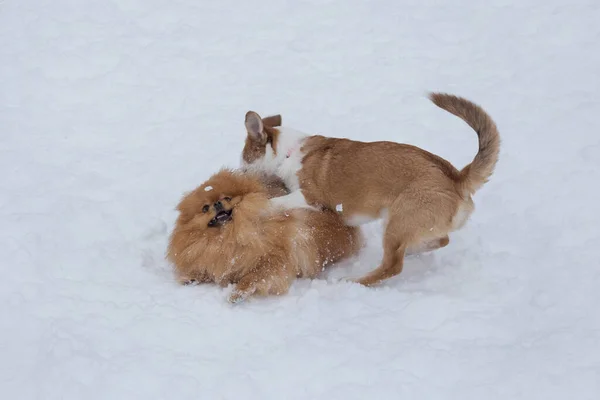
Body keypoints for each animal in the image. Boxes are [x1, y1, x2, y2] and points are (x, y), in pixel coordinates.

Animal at [165, 169, 360, 304]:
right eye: (205, 208)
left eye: (227, 198)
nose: (217, 204)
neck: (228, 235)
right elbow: (207, 269)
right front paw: (191, 277)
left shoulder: (272, 260)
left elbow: (252, 277)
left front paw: (237, 293)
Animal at [241, 93, 500, 288]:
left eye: (244, 161)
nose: (241, 173)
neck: (289, 152)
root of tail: (457, 178)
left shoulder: (310, 197)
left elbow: (277, 202)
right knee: (439, 241)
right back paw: (414, 249)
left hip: (397, 222)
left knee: (392, 266)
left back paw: (354, 281)